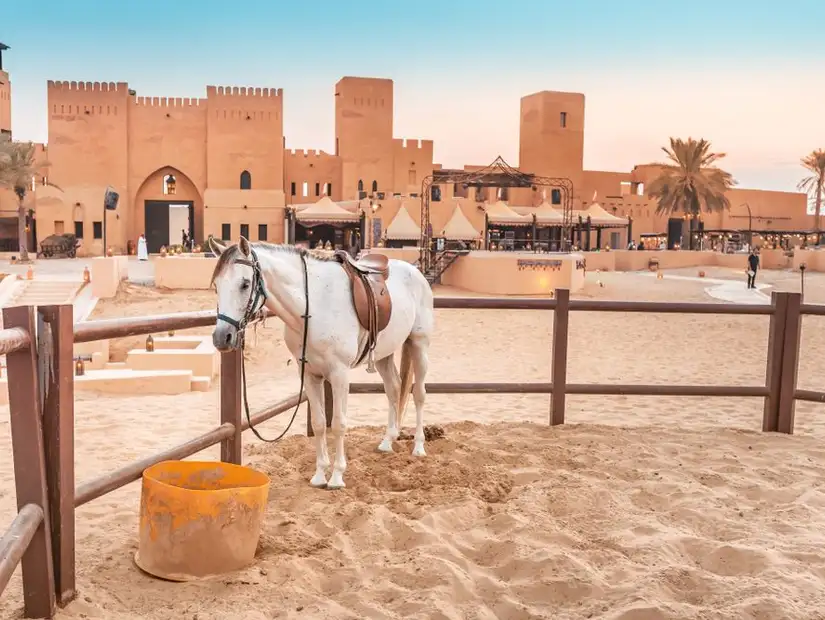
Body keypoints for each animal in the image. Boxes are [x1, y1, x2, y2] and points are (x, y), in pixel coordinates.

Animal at [209, 237, 434, 490]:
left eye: (245, 284)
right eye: (217, 285)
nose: (222, 337)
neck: (313, 306)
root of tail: (415, 271)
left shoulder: (339, 374)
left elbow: (338, 423)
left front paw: (336, 477)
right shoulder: (309, 374)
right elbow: (318, 423)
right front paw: (319, 475)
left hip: (419, 344)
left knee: (419, 394)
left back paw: (418, 446)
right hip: (383, 354)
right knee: (394, 388)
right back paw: (387, 441)